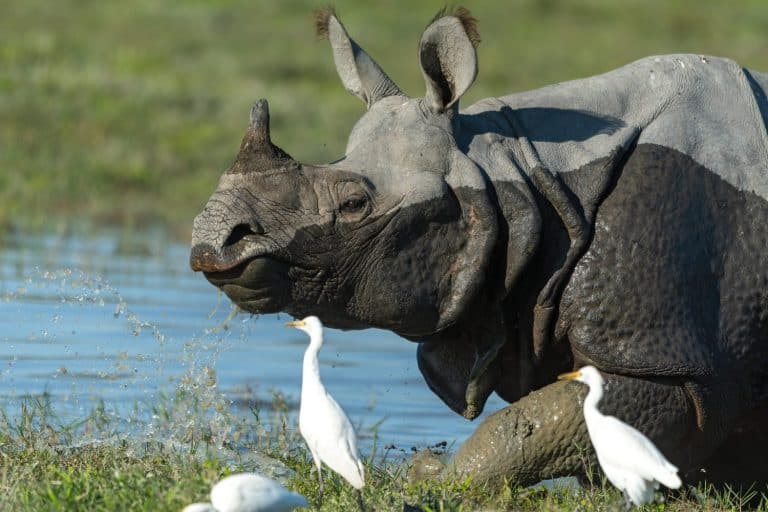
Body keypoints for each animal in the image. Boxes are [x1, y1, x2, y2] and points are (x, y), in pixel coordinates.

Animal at [190, 7, 768, 485]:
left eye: (354, 203)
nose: (211, 244)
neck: (515, 168)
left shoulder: (664, 356)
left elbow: (526, 425)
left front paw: (430, 477)